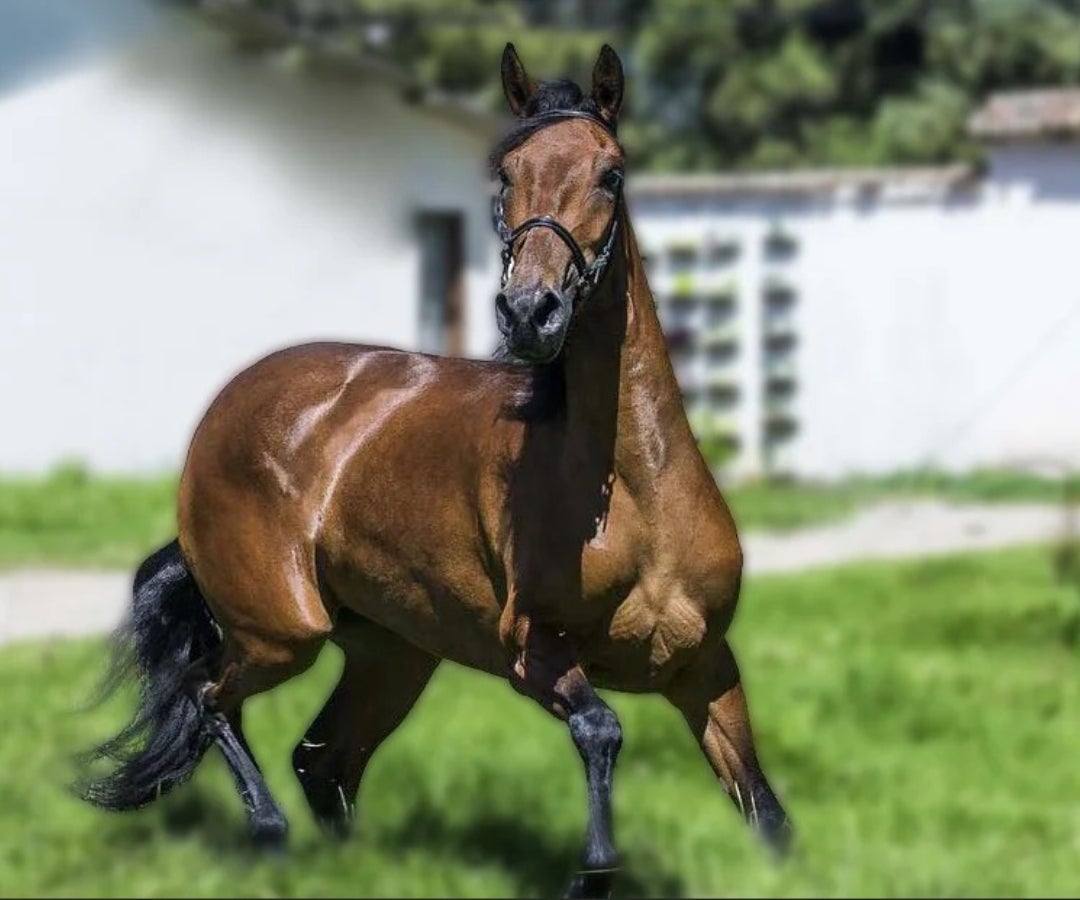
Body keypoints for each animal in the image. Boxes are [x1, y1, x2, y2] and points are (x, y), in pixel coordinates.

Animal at [78, 42, 792, 898]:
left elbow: (766, 813)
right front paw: (592, 871)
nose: (530, 312)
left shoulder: (705, 667)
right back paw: (271, 838)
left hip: (393, 654)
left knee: (325, 760)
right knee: (210, 699)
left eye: (612, 174)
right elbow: (601, 729)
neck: (633, 492)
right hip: (280, 633)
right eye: (505, 174)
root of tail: (226, 407)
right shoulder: (534, 654)